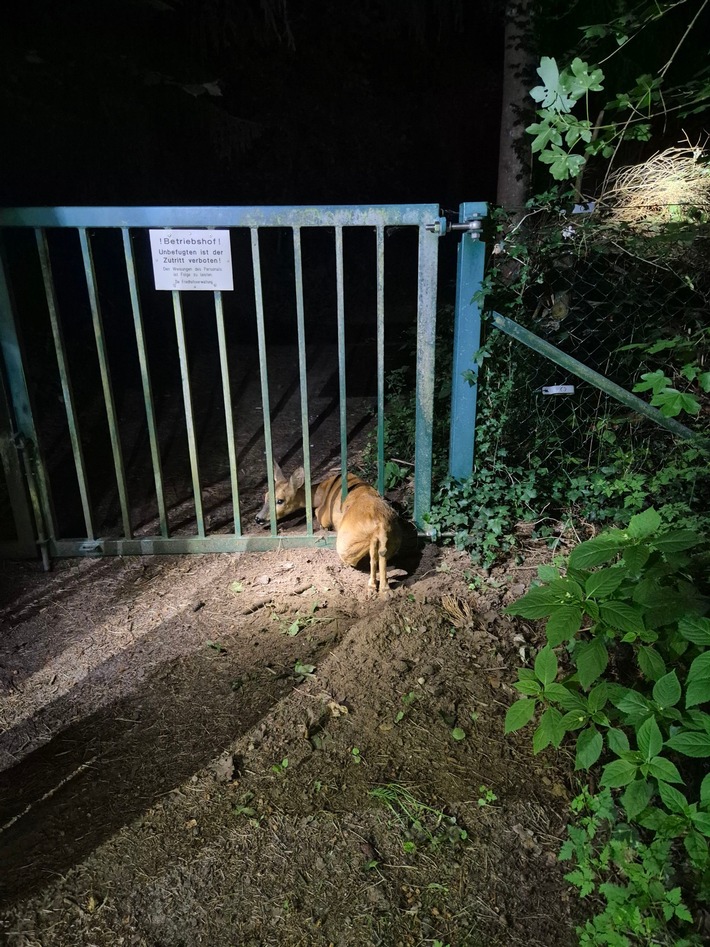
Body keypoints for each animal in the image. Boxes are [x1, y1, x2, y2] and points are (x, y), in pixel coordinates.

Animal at [255, 461, 402, 593]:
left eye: (280, 500)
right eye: (265, 496)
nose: (258, 518)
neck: (321, 492)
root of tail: (379, 526)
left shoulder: (323, 515)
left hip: (345, 544)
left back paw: (372, 586)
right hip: (394, 540)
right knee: (382, 554)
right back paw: (385, 589)